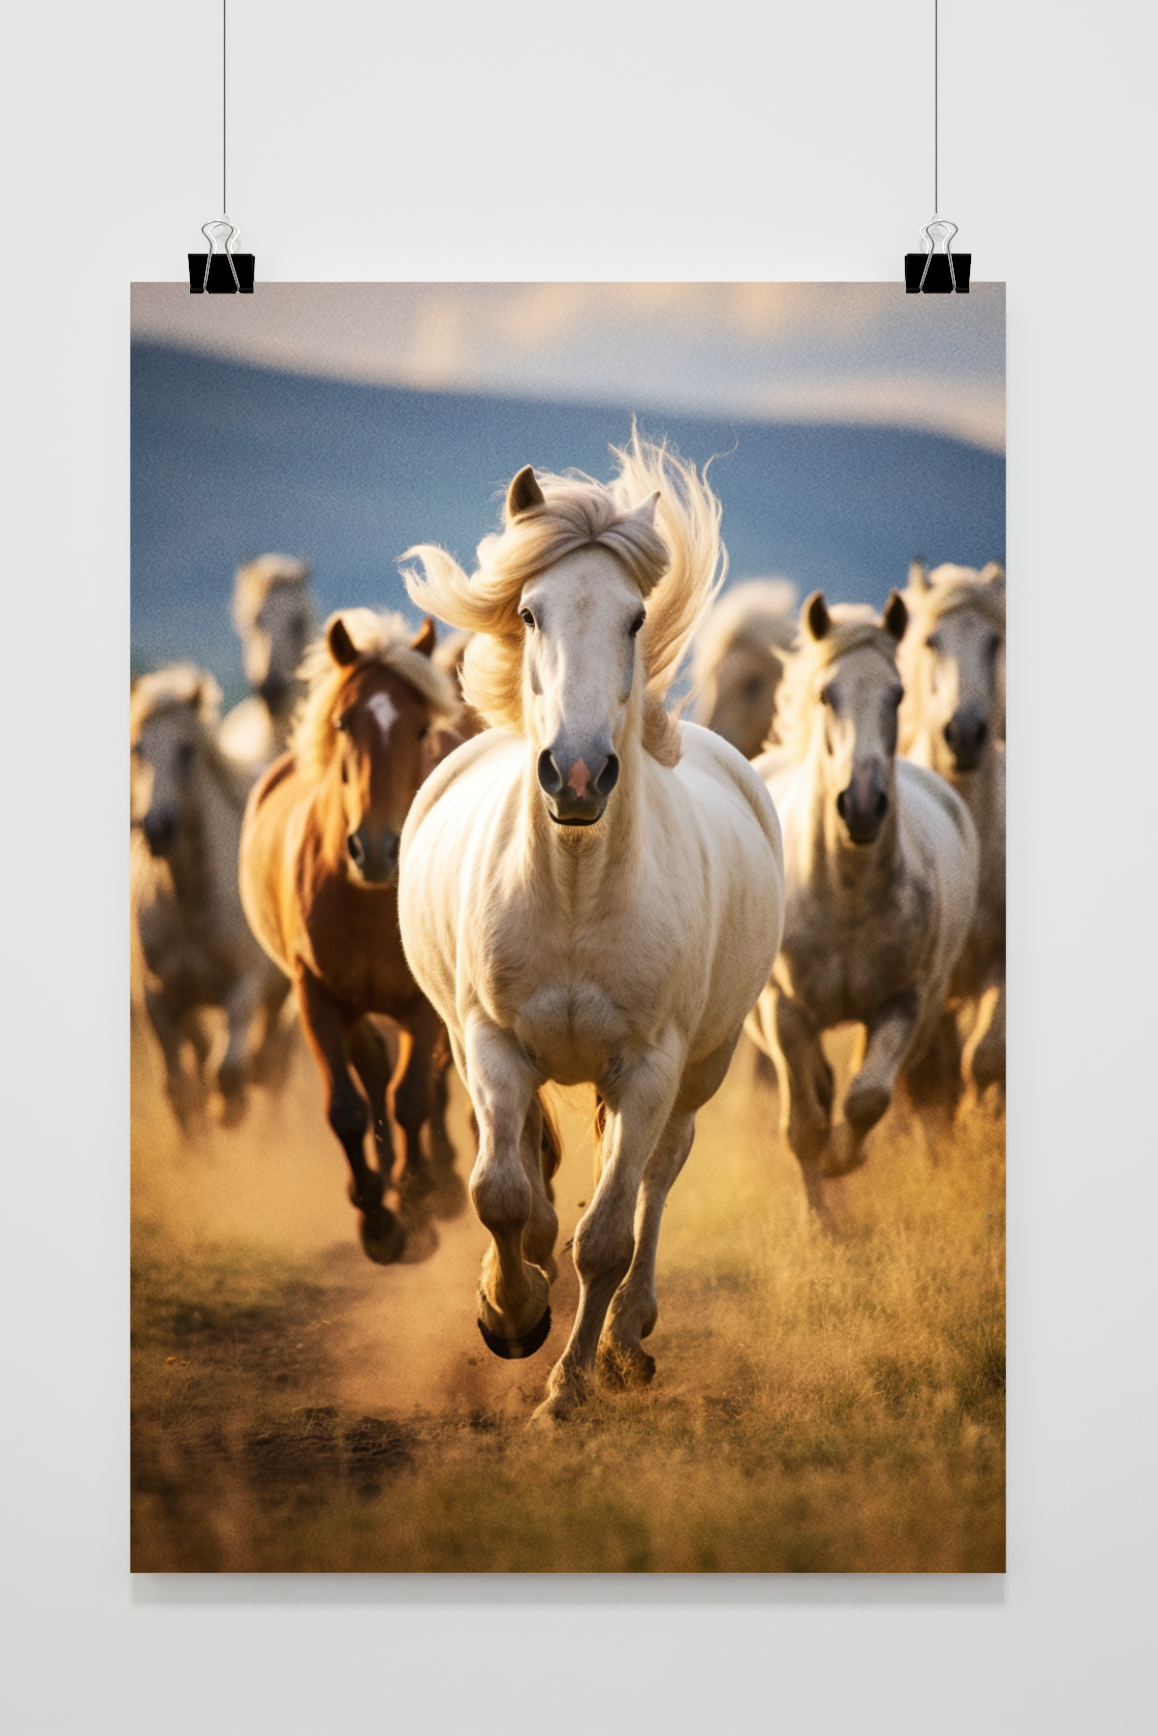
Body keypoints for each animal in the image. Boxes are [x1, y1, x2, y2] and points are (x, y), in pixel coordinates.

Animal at [131, 666, 293, 1133]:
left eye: (187, 751)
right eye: (137, 748)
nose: (157, 827)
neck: (190, 903)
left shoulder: (245, 985)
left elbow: (227, 1070)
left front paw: (231, 1108)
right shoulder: (158, 997)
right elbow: (182, 1089)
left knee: (273, 1062)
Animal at [239, 609, 466, 1265]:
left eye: (420, 727)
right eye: (344, 722)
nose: (378, 848)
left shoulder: (421, 1001)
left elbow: (412, 1095)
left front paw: (418, 1207)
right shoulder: (317, 994)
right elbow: (345, 1106)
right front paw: (376, 1217)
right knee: (372, 1072)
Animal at [398, 435, 785, 1423]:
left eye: (635, 616)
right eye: (530, 613)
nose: (575, 776)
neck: (576, 893)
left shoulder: (650, 1066)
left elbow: (609, 1235)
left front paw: (566, 1391)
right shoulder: (491, 1041)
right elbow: (500, 1191)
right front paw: (510, 1314)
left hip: (700, 1065)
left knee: (655, 1175)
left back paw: (625, 1340)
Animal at [746, 593, 980, 1226]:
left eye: (897, 695)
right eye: (827, 696)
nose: (863, 806)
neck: (845, 894)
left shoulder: (903, 1003)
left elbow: (867, 1098)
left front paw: (844, 1159)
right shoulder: (784, 1011)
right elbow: (804, 1123)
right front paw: (822, 1224)